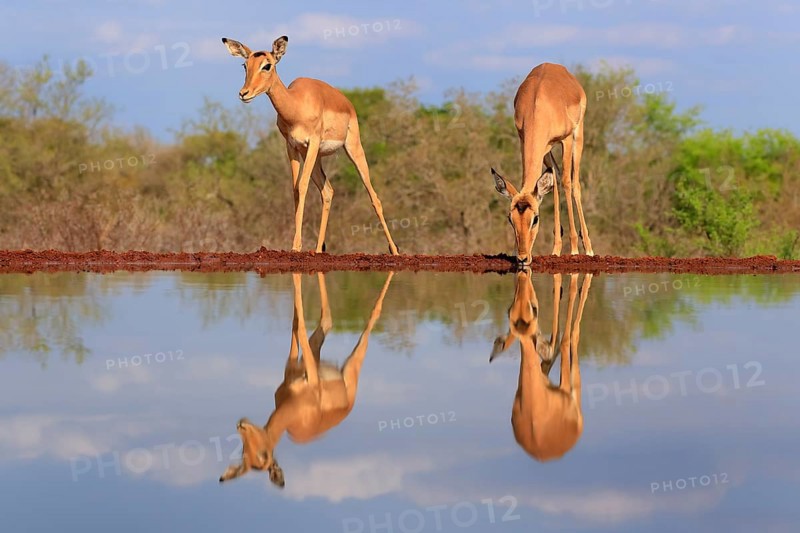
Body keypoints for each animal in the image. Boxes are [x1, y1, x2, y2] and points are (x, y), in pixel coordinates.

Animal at [219, 271, 393, 486]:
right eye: (245, 453)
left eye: (263, 455)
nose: (241, 425)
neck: (295, 406)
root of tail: (347, 406)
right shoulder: (291, 368)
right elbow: (295, 324)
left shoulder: (310, 373)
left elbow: (300, 325)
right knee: (326, 321)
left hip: (352, 365)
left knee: (370, 318)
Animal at [222, 35, 399, 255]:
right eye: (245, 65)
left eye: (267, 65)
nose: (243, 93)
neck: (296, 106)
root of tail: (347, 103)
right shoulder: (292, 147)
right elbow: (295, 188)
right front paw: (298, 245)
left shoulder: (313, 142)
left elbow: (303, 186)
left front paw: (296, 246)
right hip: (314, 158)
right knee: (328, 191)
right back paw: (319, 249)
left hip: (352, 148)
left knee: (374, 197)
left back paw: (395, 251)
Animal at [491, 63, 594, 264]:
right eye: (510, 218)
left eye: (536, 218)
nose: (523, 257)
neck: (538, 105)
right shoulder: (524, 141)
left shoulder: (566, 140)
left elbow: (567, 183)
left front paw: (574, 250)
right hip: (546, 151)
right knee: (554, 176)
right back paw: (556, 248)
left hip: (578, 136)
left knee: (574, 183)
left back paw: (587, 248)